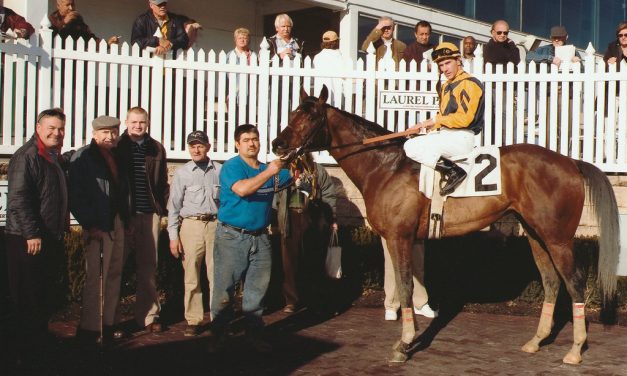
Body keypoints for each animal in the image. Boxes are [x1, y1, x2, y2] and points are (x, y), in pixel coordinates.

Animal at [272, 88, 620, 364]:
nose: (277, 144)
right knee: (551, 281)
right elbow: (409, 285)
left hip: (558, 237)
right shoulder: (403, 238)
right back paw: (536, 341)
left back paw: (575, 350)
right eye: (292, 113)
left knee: (575, 281)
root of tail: (571, 161)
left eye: (309, 118)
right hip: (536, 234)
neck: (385, 166)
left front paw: (404, 344)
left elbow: (405, 286)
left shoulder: (399, 237)